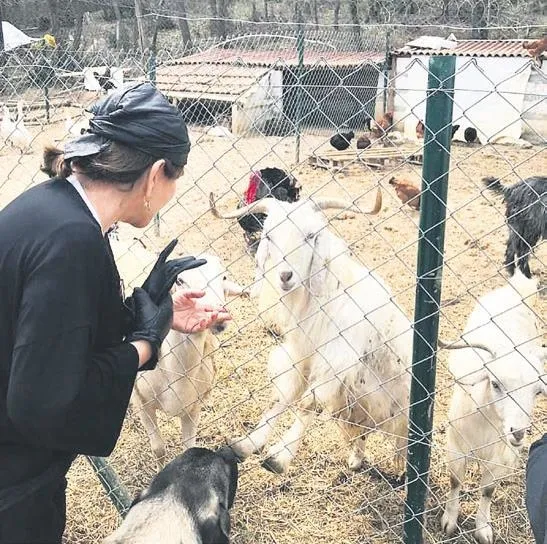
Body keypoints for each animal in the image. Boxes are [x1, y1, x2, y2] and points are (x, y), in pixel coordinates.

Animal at [131, 253, 246, 465]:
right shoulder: (142, 403)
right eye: (179, 280)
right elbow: (158, 449)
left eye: (224, 277)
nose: (217, 316)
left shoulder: (193, 409)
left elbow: (189, 449)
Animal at [209, 188, 414, 475]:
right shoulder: (302, 355)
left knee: (398, 440)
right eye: (269, 236)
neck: (328, 295)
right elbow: (282, 397)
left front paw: (278, 458)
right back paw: (356, 460)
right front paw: (245, 445)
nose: (285, 276)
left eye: (310, 235)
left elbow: (308, 404)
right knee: (360, 431)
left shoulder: (336, 363)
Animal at [440, 270, 546, 544]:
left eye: (538, 391)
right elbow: (455, 481)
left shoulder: (503, 456)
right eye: (496, 383)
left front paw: (483, 529)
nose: (518, 433)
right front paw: (449, 522)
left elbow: (488, 489)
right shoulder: (456, 446)